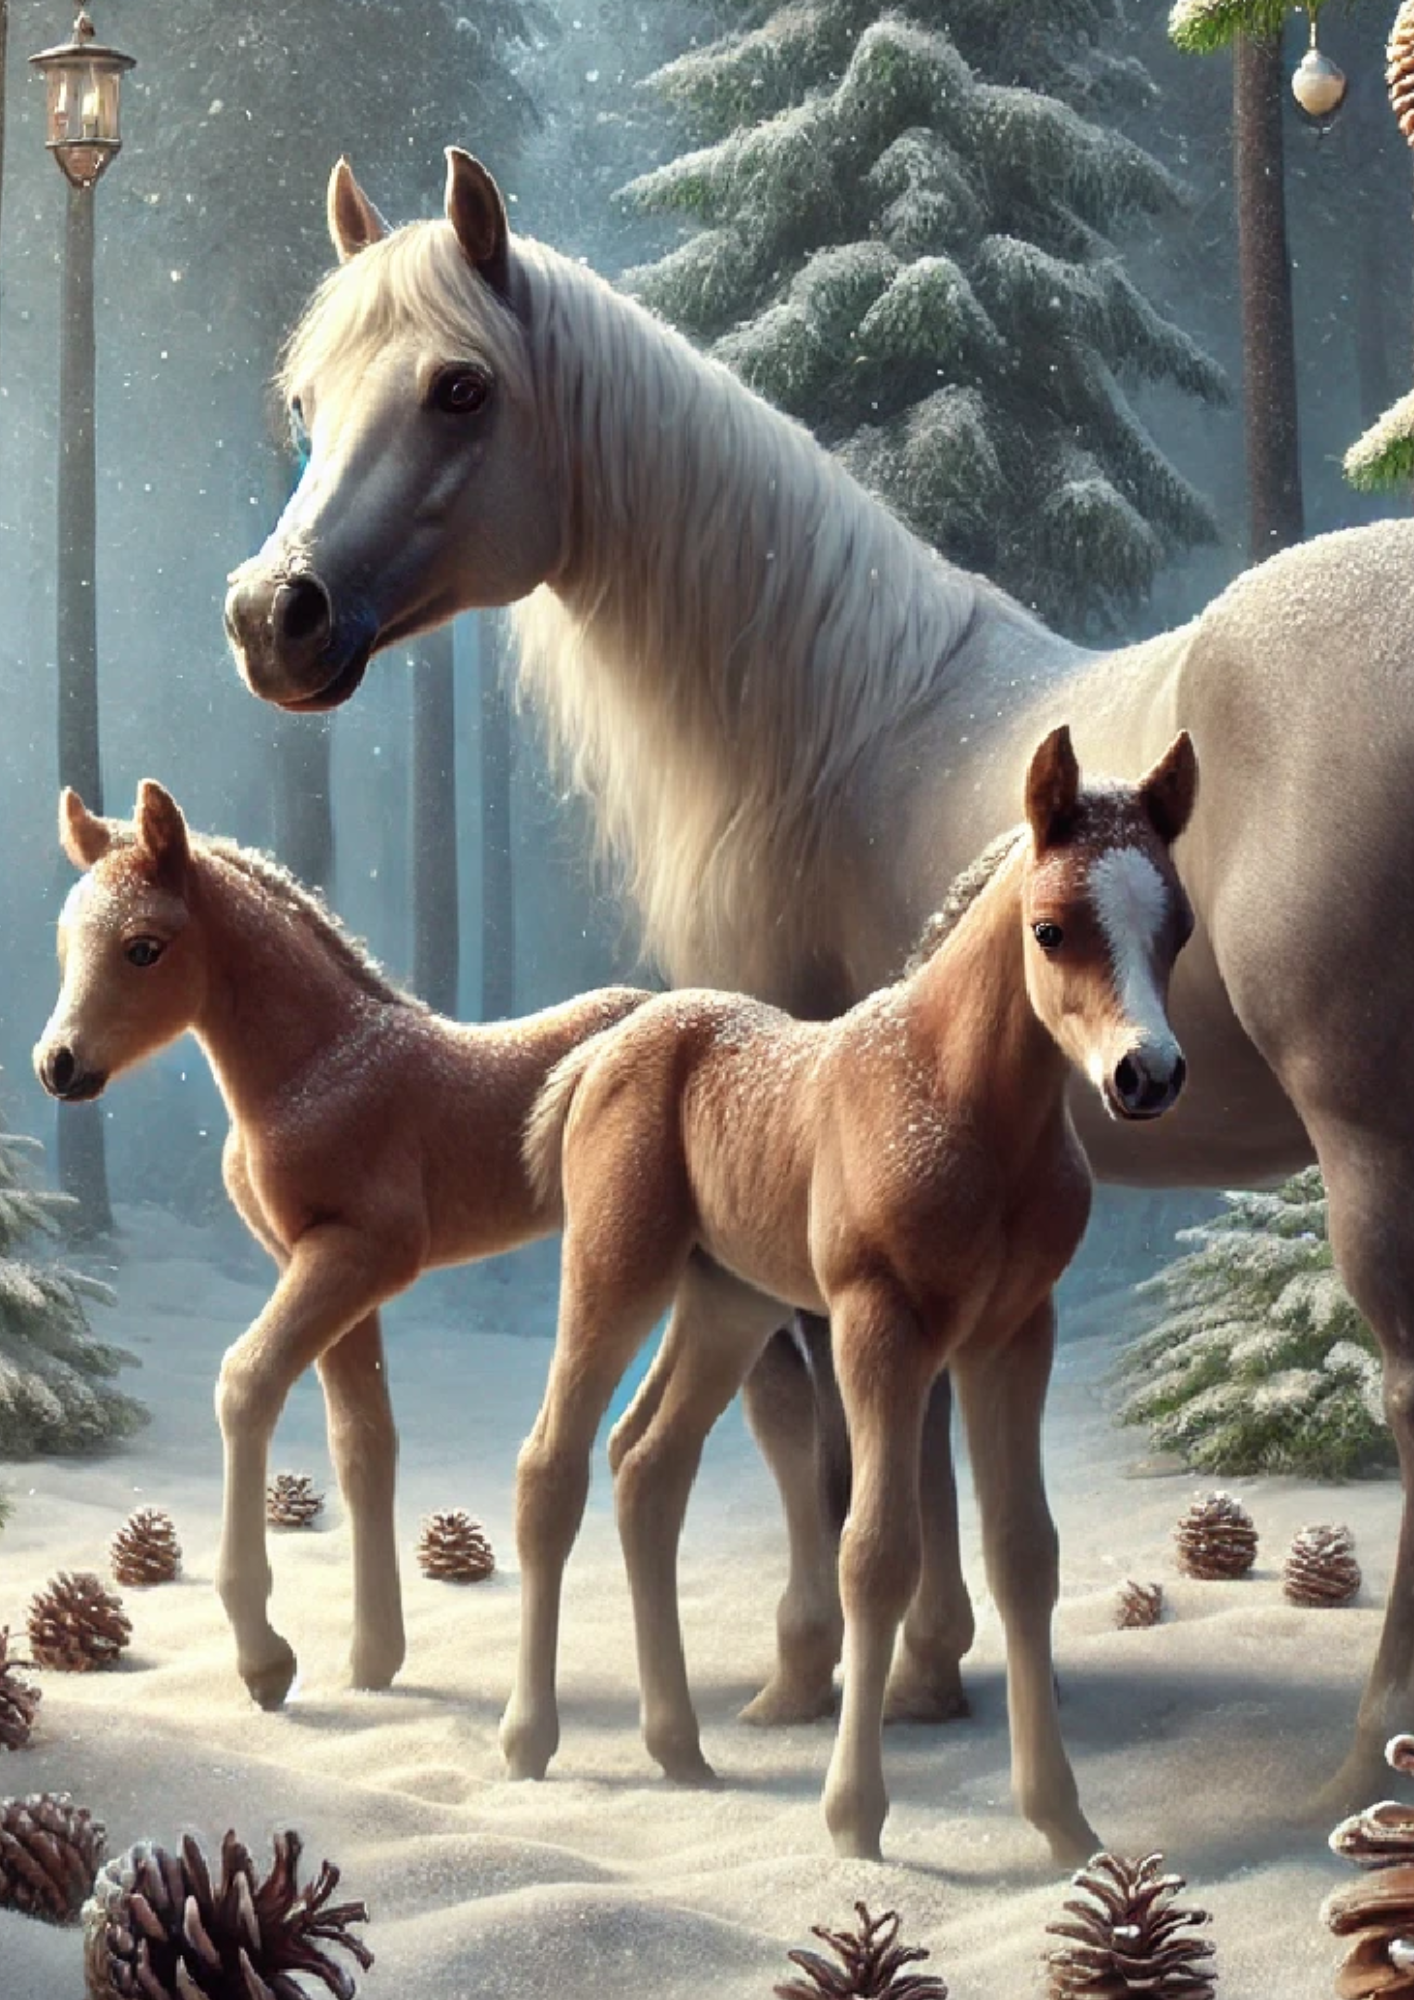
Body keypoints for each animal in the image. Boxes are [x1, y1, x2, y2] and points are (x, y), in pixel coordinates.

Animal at [33, 780, 650, 1709]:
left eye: (143, 948)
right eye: (65, 944)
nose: (57, 1066)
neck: (315, 1069)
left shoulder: (363, 1255)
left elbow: (247, 1383)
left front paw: (265, 1660)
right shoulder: (324, 1267)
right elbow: (363, 1445)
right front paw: (372, 1663)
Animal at [504, 727, 1196, 1862]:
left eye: (1176, 927)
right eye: (1050, 930)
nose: (1148, 1076)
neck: (964, 1107)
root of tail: (612, 1041)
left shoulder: (1014, 1334)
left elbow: (1025, 1555)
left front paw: (1062, 1826)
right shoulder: (878, 1327)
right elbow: (873, 1552)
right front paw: (855, 1822)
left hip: (727, 1302)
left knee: (648, 1467)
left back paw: (681, 1751)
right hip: (615, 1271)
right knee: (551, 1466)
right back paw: (529, 1742)